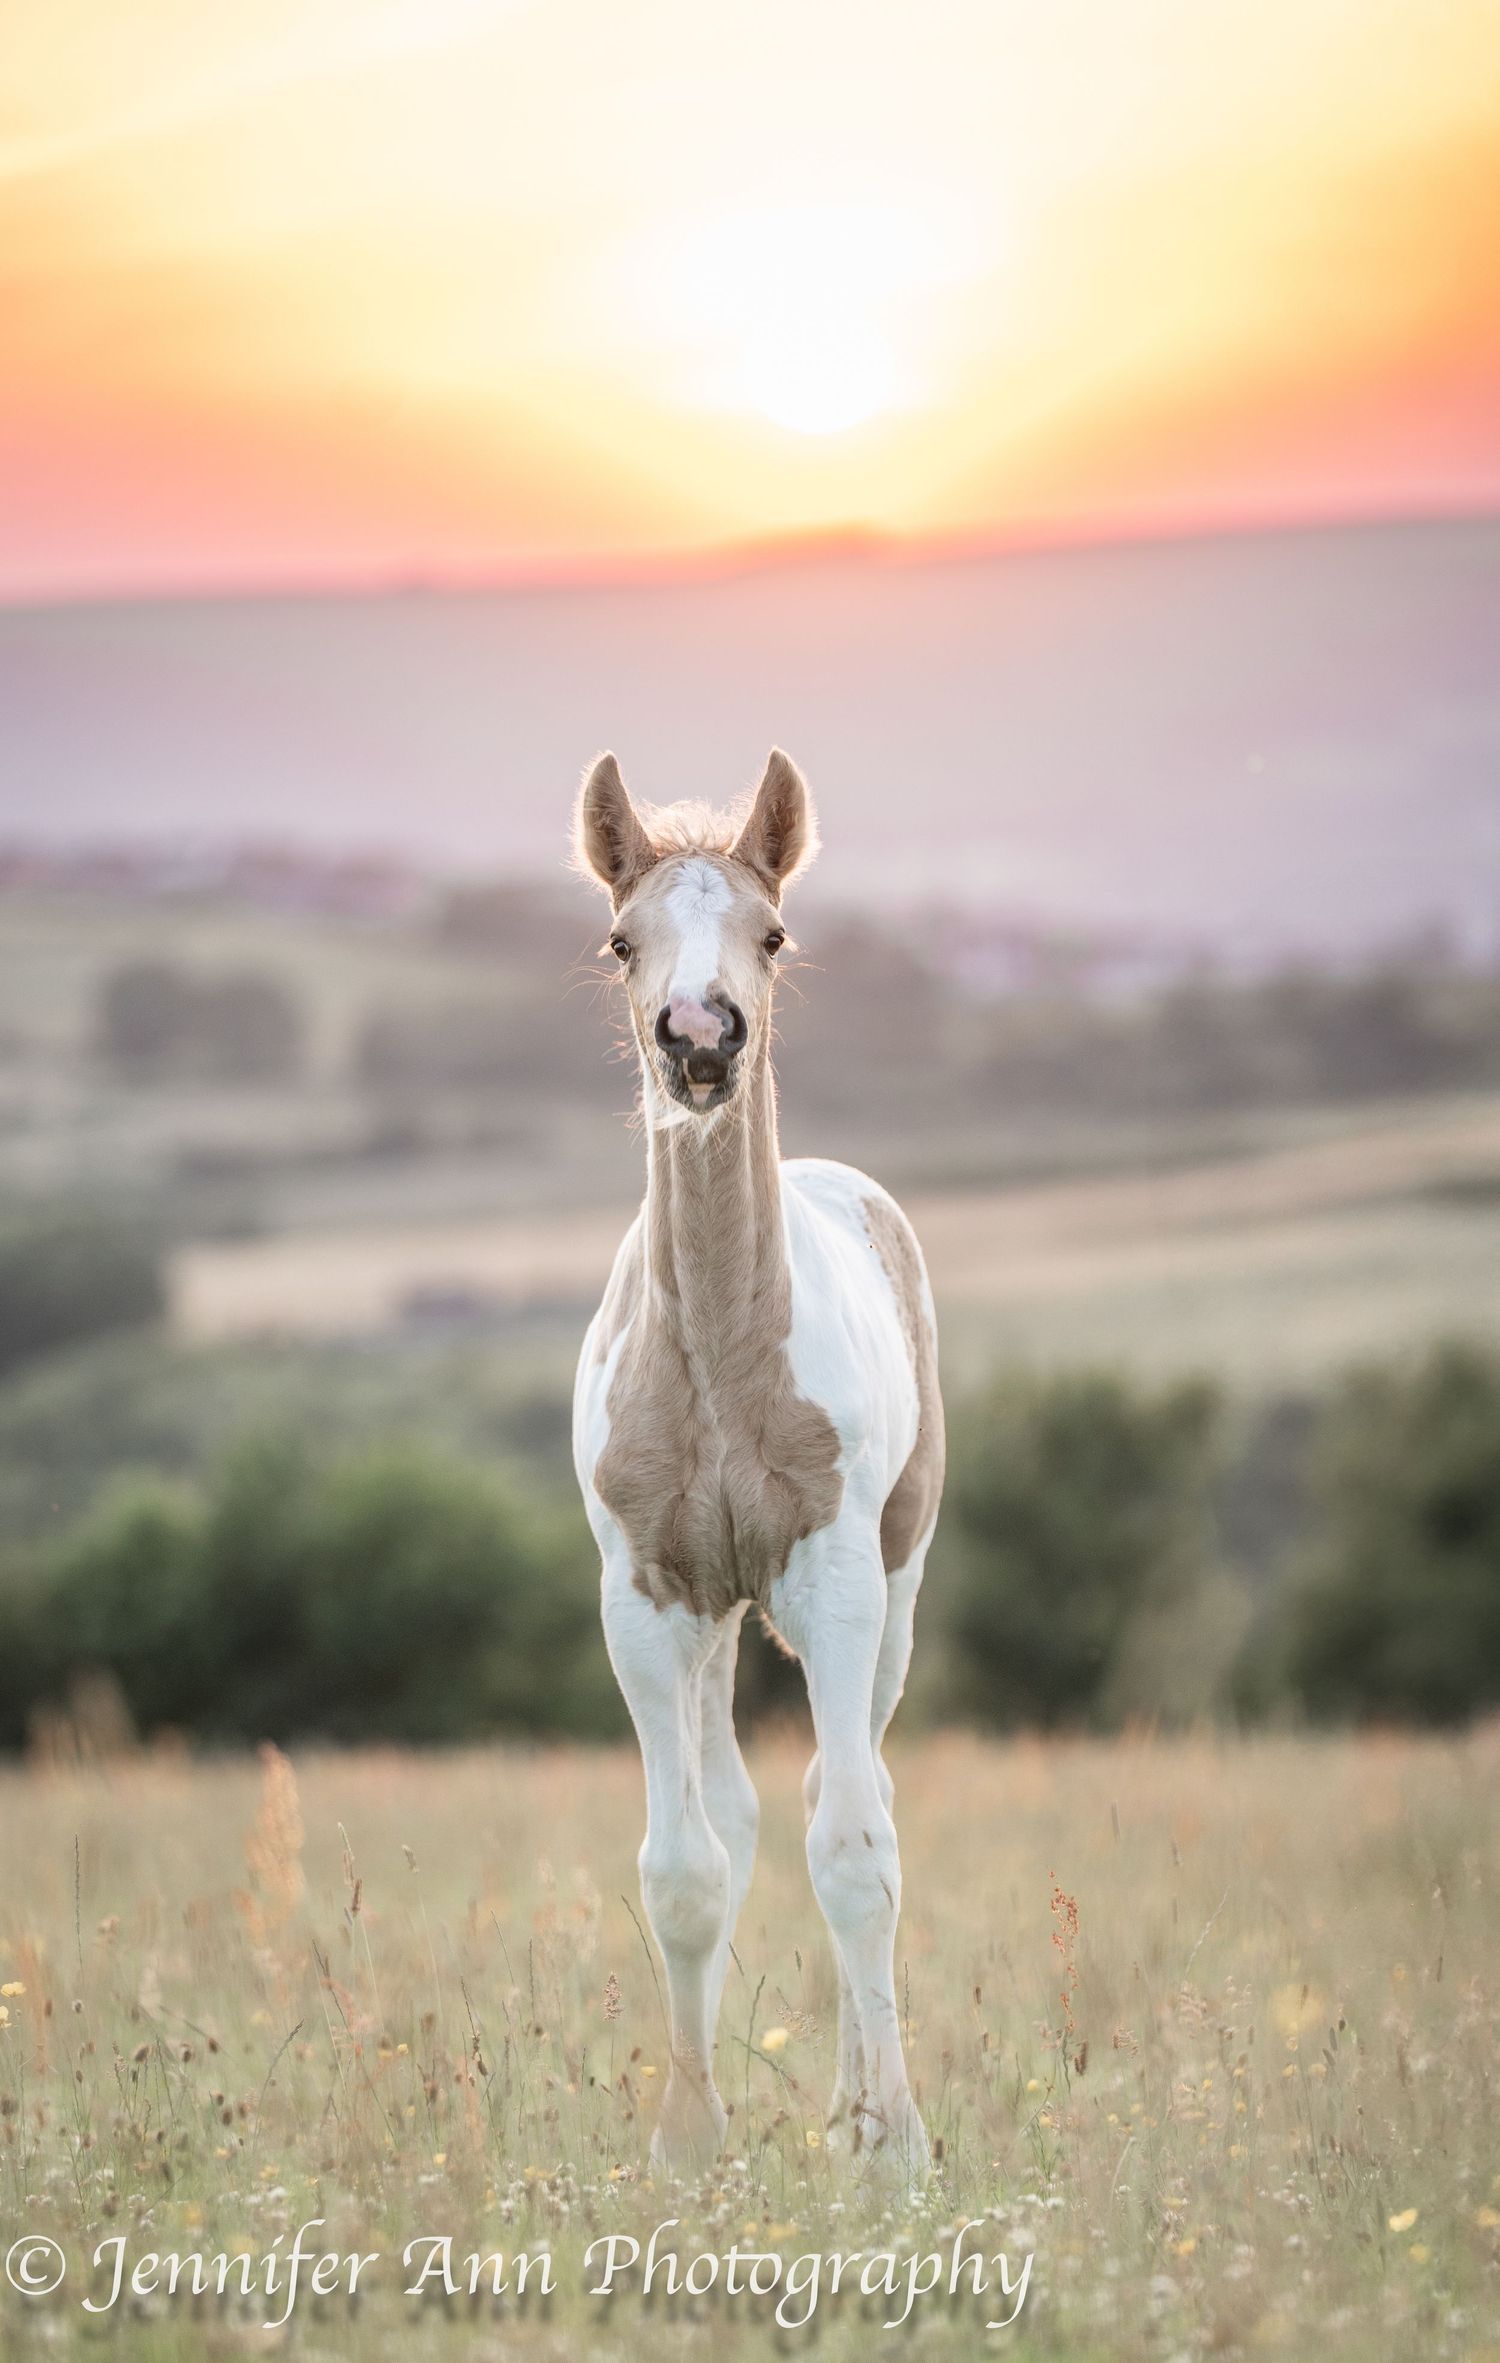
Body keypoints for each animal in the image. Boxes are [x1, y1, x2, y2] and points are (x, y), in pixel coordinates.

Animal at [571, 748, 944, 2180]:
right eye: (623, 942)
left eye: (772, 934)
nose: (699, 1038)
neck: (724, 1362)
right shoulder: (644, 1598)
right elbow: (683, 1866)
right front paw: (687, 2142)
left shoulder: (835, 1584)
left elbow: (853, 1846)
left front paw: (891, 2147)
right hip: (722, 1616)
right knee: (730, 1814)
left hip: (895, 1585)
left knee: (858, 1784)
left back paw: (857, 2107)